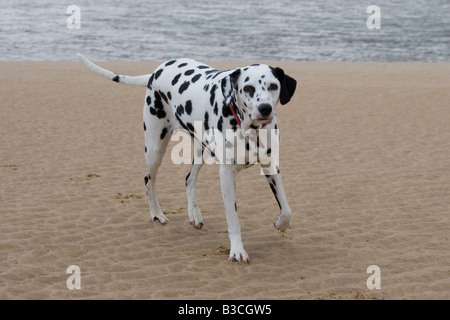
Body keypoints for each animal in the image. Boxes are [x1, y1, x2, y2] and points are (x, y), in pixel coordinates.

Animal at [78, 53, 296, 262]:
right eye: (248, 88)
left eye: (274, 86)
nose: (265, 108)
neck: (250, 130)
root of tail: (158, 70)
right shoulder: (226, 175)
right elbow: (233, 218)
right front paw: (237, 251)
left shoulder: (271, 166)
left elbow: (286, 210)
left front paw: (280, 224)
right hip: (155, 148)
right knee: (149, 180)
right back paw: (157, 214)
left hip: (201, 150)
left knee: (189, 178)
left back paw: (194, 214)